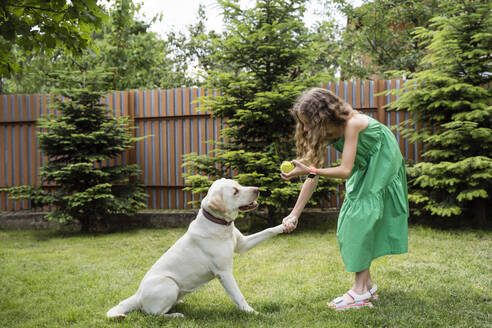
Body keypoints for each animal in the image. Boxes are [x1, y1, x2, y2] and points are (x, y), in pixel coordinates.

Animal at [106, 177, 292, 318]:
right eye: (235, 191)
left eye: (239, 184)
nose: (258, 189)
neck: (221, 225)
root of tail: (137, 295)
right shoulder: (224, 272)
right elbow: (238, 296)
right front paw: (252, 313)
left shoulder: (243, 245)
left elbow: (268, 230)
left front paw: (286, 224)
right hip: (169, 284)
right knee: (152, 314)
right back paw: (175, 315)